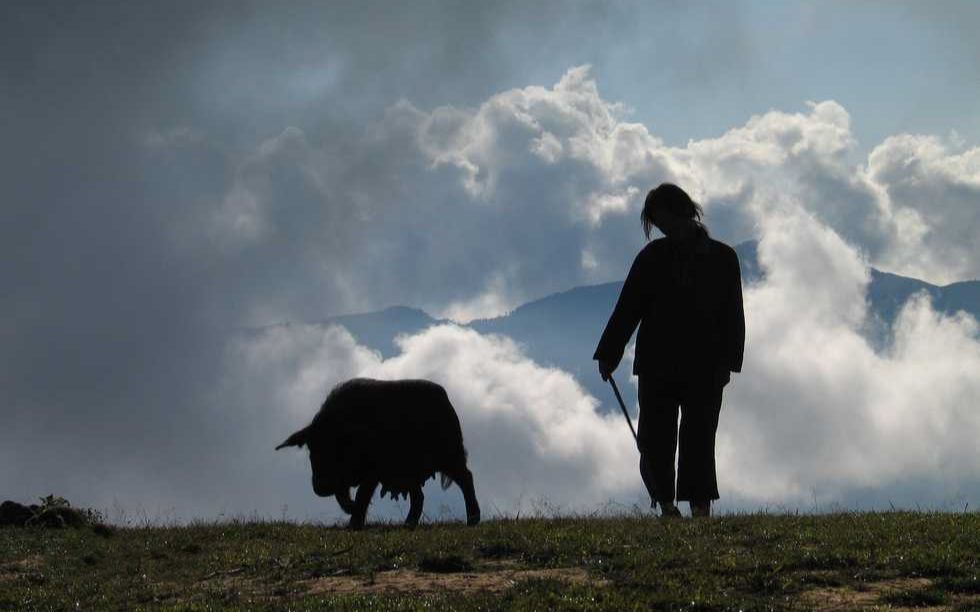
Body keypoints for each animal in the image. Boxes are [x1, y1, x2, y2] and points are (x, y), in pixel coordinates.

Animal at [274, 376, 480, 528]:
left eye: (337, 450)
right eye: (312, 451)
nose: (321, 487)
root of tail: (446, 399)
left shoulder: (373, 470)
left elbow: (362, 494)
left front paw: (354, 524)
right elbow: (345, 497)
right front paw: (352, 513)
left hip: (450, 454)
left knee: (466, 478)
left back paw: (472, 520)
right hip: (412, 471)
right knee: (419, 496)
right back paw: (407, 524)